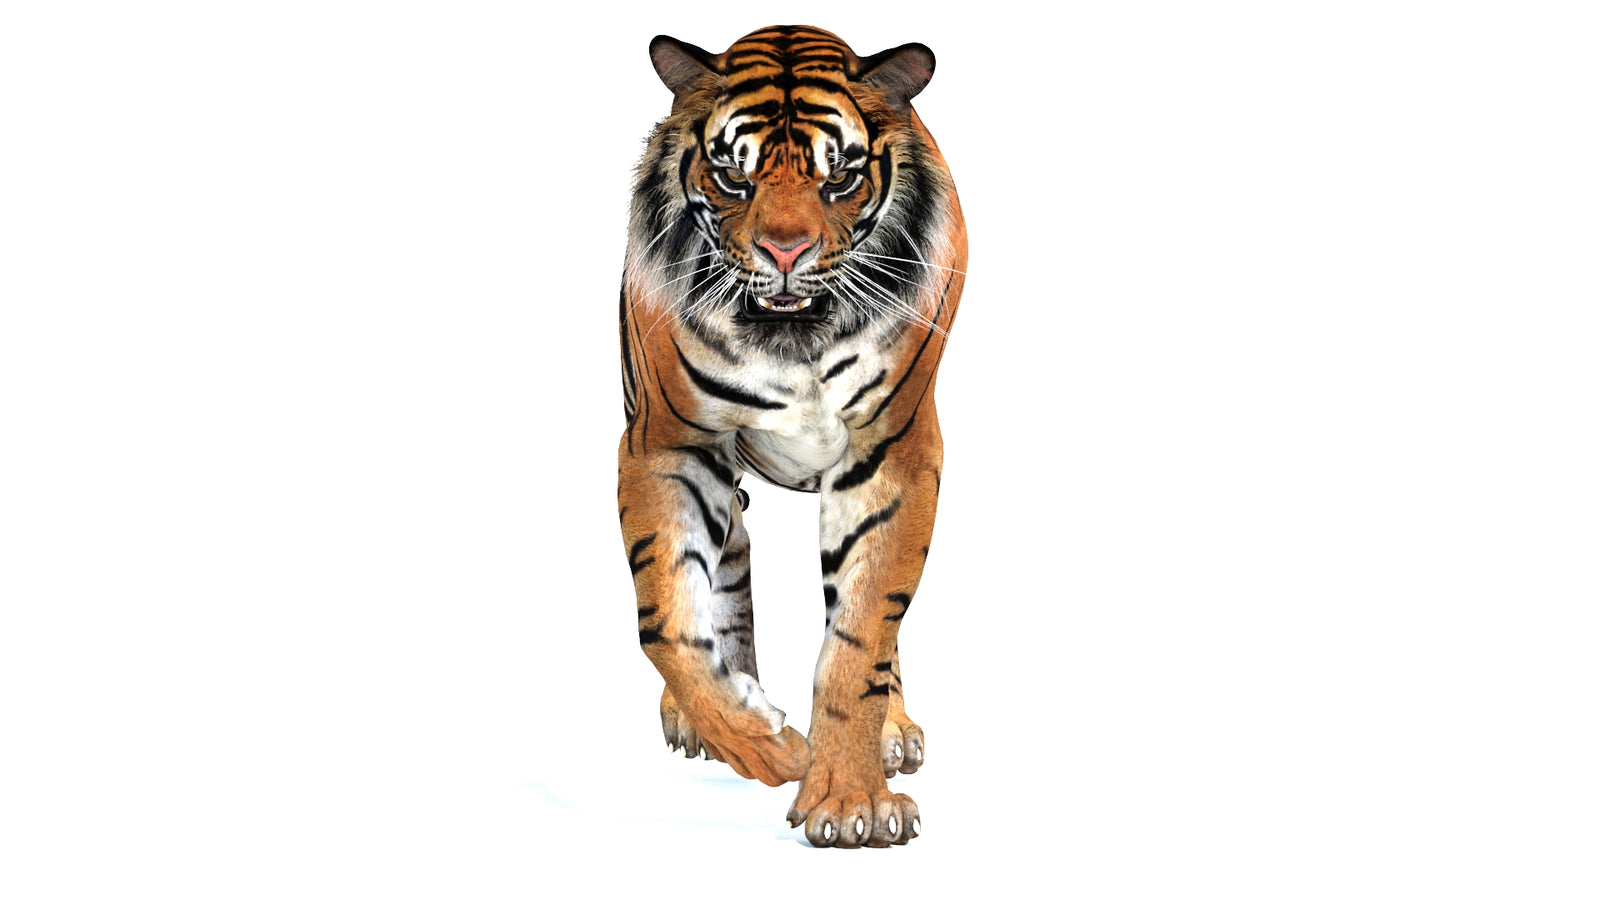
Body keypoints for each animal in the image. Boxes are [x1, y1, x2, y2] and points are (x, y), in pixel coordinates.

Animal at [617, 25, 966, 848]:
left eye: (838, 178)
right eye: (732, 179)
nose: (783, 253)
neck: (792, 339)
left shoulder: (894, 456)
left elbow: (861, 637)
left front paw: (849, 801)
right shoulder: (666, 445)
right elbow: (666, 621)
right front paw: (766, 745)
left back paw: (892, 731)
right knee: (725, 575)